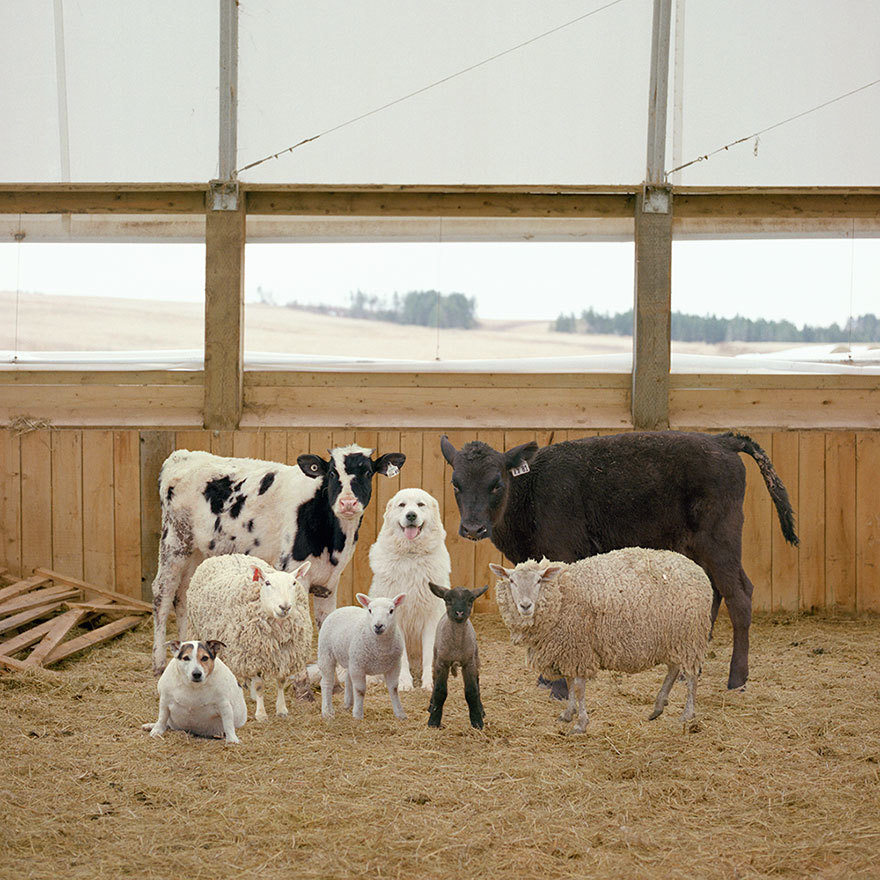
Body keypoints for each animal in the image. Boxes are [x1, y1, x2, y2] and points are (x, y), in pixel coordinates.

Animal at [151, 444, 406, 676]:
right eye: (333, 473)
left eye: (368, 472)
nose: (348, 503)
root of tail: (182, 455)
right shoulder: (293, 571)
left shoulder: (330, 582)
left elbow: (326, 623)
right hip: (175, 541)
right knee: (162, 593)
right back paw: (159, 662)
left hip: (197, 551)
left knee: (182, 596)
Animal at [186, 556, 312, 720]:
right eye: (267, 583)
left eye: (294, 583)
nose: (284, 607)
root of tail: (224, 556)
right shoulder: (253, 656)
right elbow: (259, 686)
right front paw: (261, 714)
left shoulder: (284, 656)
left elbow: (281, 682)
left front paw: (282, 709)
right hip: (199, 632)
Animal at [318, 592, 408, 720]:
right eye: (370, 610)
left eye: (391, 610)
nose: (378, 626)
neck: (380, 650)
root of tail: (343, 607)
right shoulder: (358, 666)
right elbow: (360, 690)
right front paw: (358, 714)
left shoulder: (394, 666)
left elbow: (394, 689)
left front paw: (400, 714)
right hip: (326, 652)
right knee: (326, 682)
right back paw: (327, 711)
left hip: (350, 658)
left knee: (348, 679)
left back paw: (348, 704)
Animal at [366, 488, 446, 688]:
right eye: (402, 505)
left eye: (420, 504)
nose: (411, 515)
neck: (411, 555)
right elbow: (402, 658)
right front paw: (404, 682)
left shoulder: (431, 617)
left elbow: (428, 655)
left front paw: (428, 683)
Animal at [488, 548, 716, 732]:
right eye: (512, 581)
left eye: (538, 581)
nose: (525, 606)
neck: (561, 596)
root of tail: (698, 570)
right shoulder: (568, 651)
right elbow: (569, 682)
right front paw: (567, 714)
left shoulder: (578, 647)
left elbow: (578, 688)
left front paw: (580, 724)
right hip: (673, 637)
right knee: (674, 669)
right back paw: (658, 706)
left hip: (690, 636)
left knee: (691, 676)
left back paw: (687, 714)